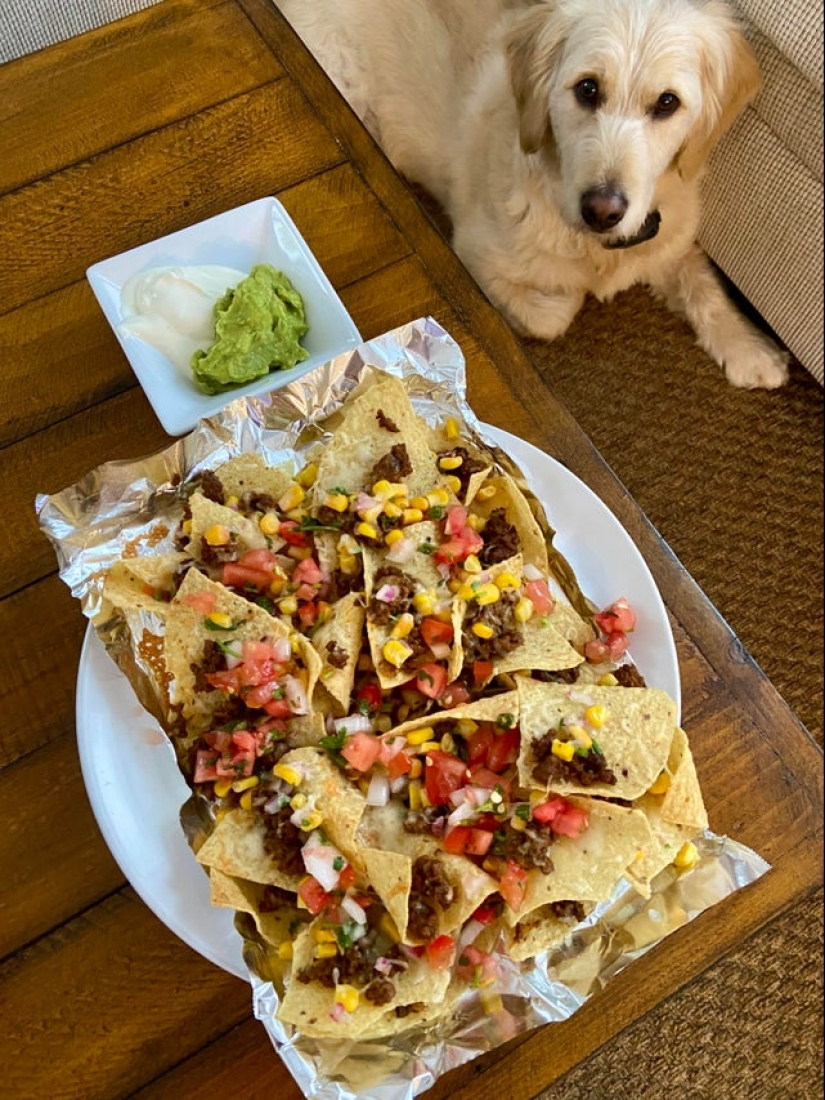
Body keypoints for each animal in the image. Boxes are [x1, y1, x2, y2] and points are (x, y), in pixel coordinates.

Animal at [279, 0, 796, 391]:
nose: (602, 211)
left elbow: (702, 279)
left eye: (667, 102)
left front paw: (749, 347)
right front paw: (569, 295)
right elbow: (555, 314)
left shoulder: (666, 233)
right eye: (587, 89)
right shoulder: (474, 254)